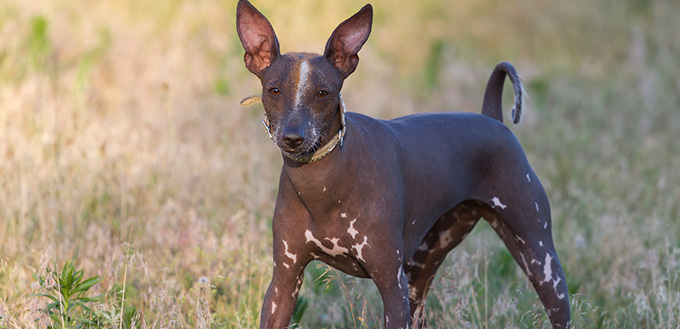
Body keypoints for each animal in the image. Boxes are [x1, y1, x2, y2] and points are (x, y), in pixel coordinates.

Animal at [236, 1, 572, 326]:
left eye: (322, 93)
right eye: (274, 90)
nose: (293, 137)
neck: (323, 185)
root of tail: (491, 117)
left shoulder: (391, 284)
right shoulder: (283, 282)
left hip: (539, 257)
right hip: (421, 270)